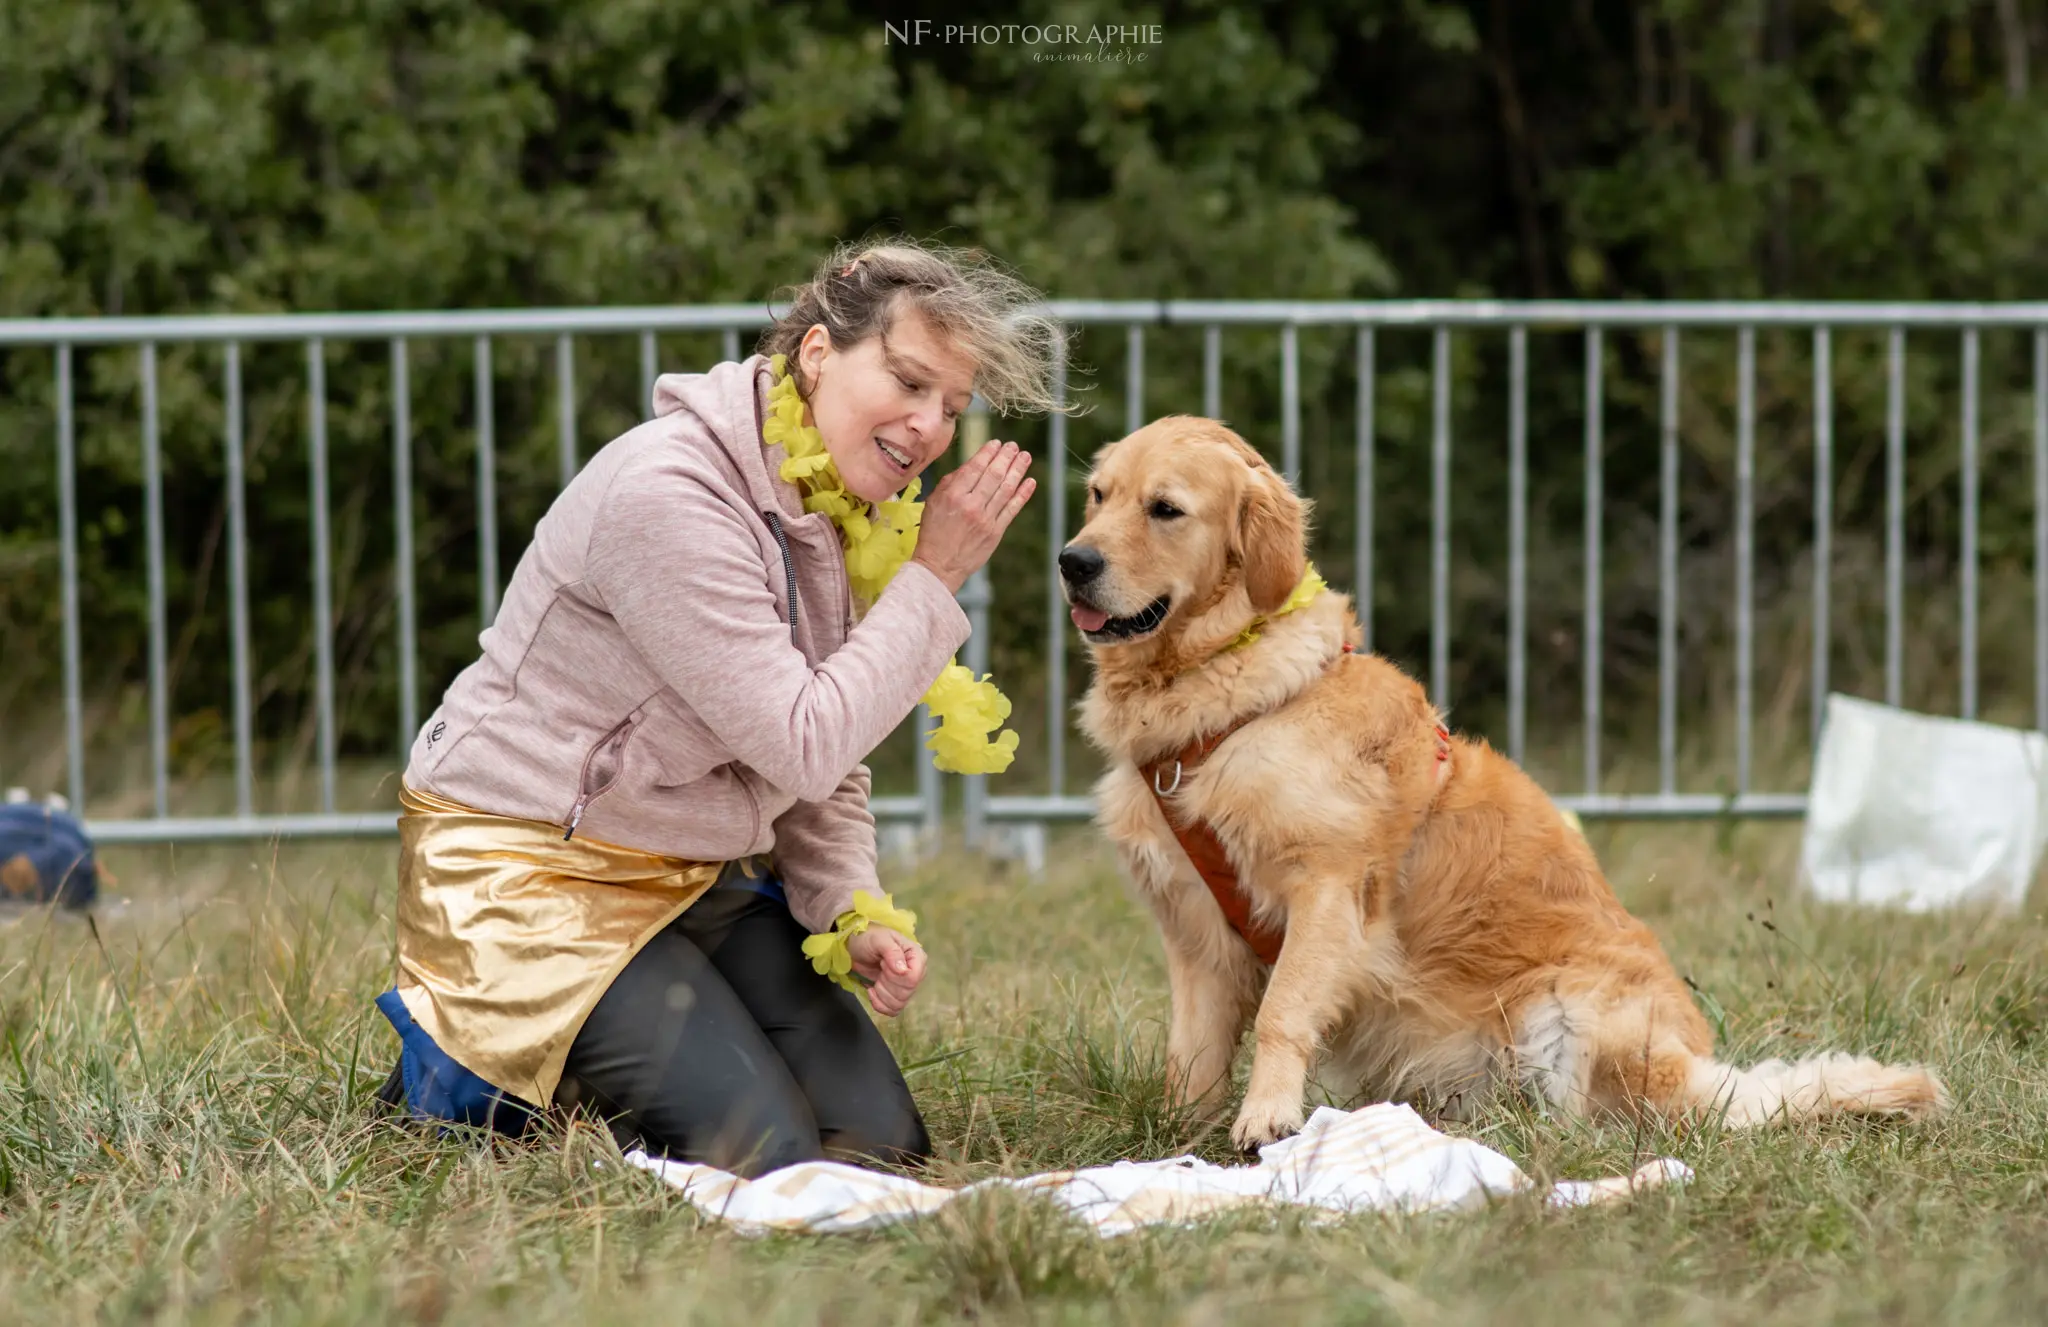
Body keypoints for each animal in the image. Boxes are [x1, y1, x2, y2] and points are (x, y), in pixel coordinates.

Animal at [1064, 417, 1941, 1146]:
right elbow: (1191, 1056)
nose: (1073, 560)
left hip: (1572, 1012)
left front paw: (1268, 1119)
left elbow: (1283, 1011)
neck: (1227, 702)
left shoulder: (1327, 889)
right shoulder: (1196, 935)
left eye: (1166, 508)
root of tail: (1705, 1074)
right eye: (1099, 494)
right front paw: (1179, 1140)